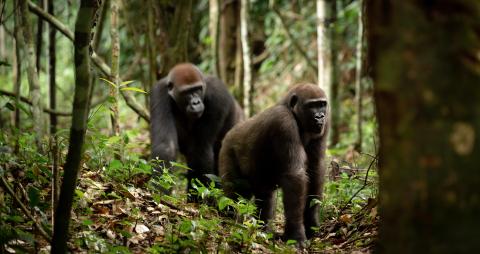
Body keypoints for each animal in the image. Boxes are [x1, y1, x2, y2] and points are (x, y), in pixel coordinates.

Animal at [151, 63, 244, 198]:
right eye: (186, 92)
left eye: (198, 89)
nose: (196, 102)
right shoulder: (160, 93)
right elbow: (166, 147)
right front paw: (159, 191)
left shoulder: (218, 94)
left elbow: (200, 151)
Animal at [219, 83, 328, 244]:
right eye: (311, 106)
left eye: (322, 104)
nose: (320, 116)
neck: (290, 109)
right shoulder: (283, 123)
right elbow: (294, 176)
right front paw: (297, 234)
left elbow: (316, 169)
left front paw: (311, 223)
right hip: (227, 149)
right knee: (234, 196)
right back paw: (228, 221)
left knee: (265, 198)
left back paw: (264, 231)